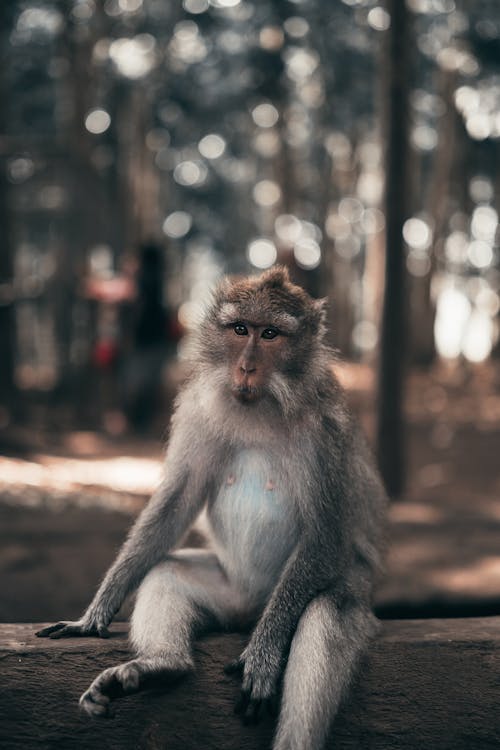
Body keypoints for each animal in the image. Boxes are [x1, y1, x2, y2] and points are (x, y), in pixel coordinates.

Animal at [38, 268, 386, 748]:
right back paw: (163, 666)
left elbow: (326, 535)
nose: (246, 367)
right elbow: (177, 503)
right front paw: (96, 611)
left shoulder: (327, 432)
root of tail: (250, 612)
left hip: (317, 594)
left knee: (325, 612)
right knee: (167, 571)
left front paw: (263, 654)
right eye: (240, 329)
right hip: (231, 595)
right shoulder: (197, 411)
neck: (262, 406)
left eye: (270, 334)